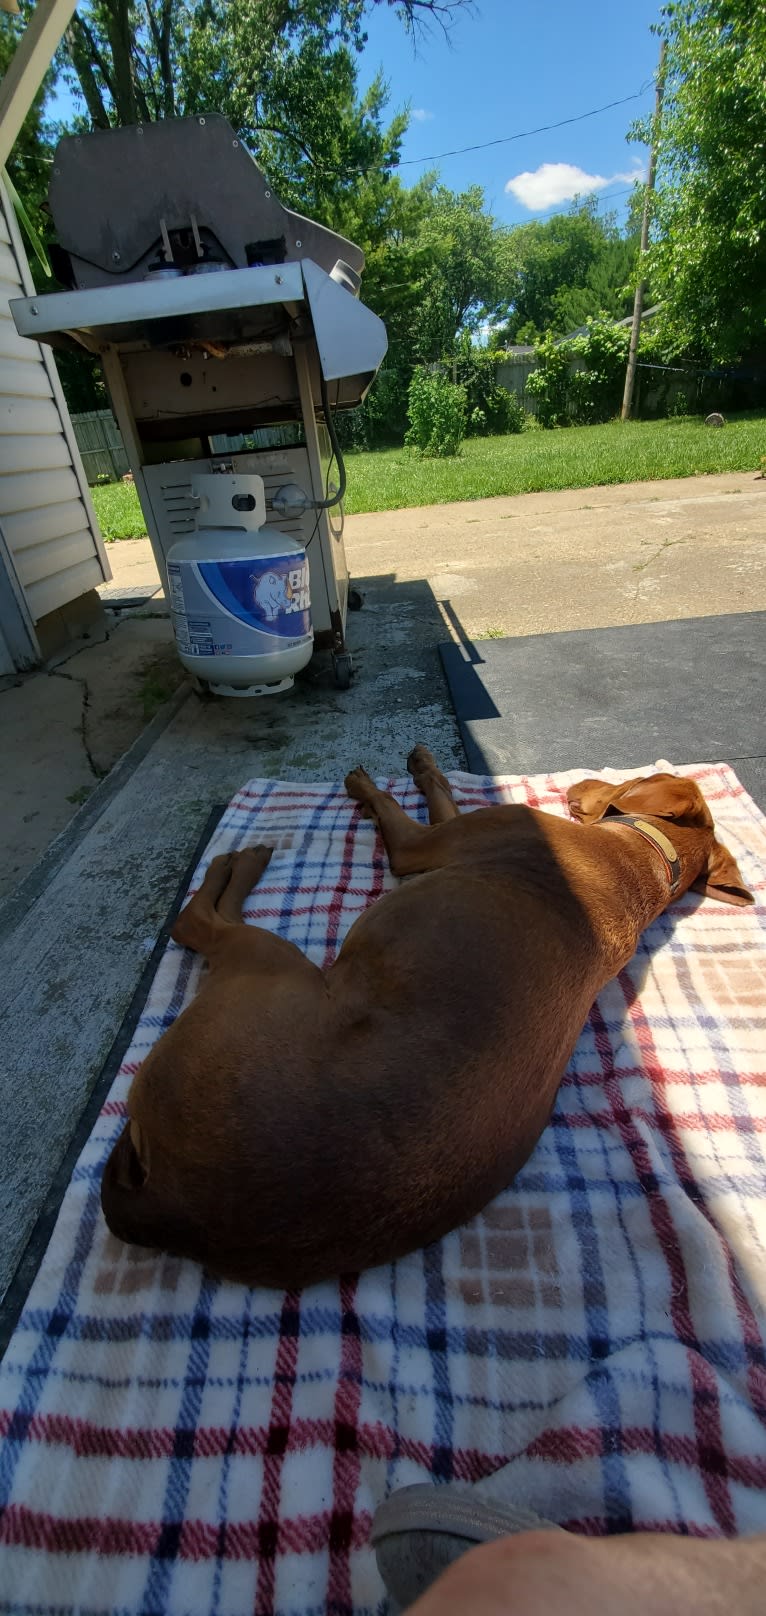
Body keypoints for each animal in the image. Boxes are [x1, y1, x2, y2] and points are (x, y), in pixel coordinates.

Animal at [101, 746, 753, 1286]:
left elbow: (394, 807)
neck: (646, 863)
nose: (579, 782)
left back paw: (240, 862)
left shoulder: (418, 847)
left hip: (269, 967)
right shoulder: (447, 832)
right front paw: (424, 763)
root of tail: (173, 1211)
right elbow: (442, 793)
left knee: (195, 922)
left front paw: (365, 783)